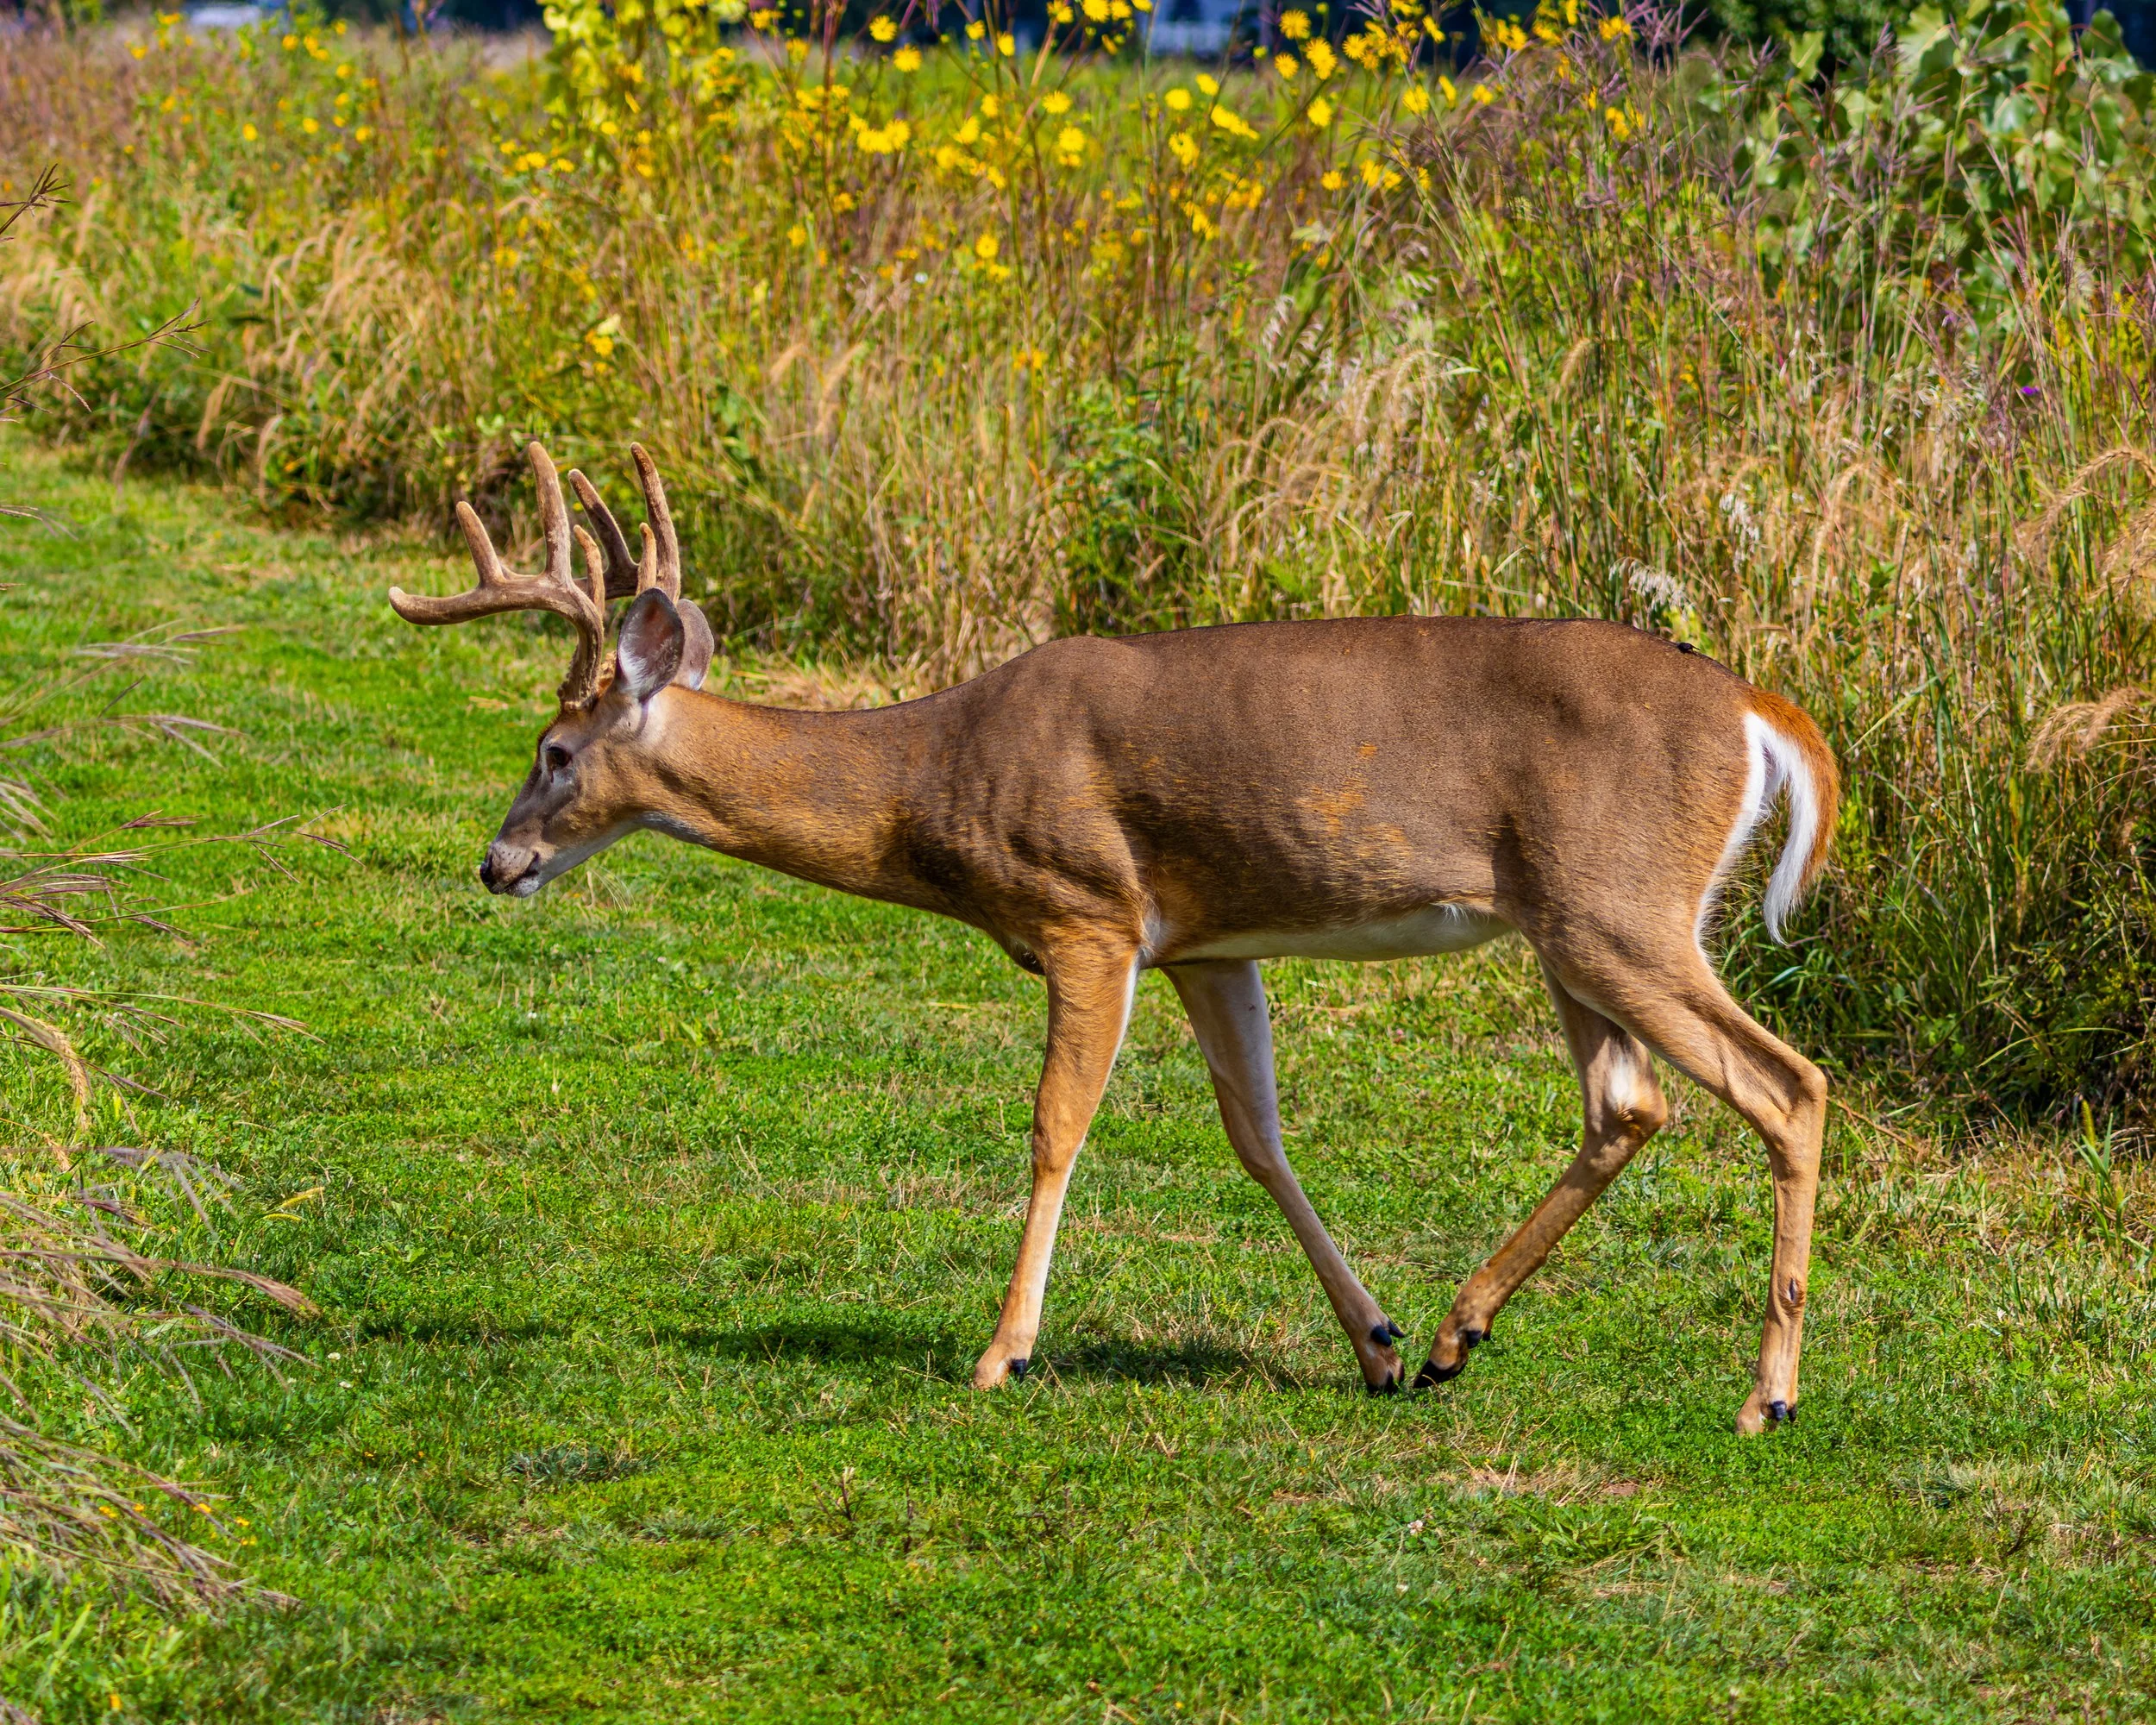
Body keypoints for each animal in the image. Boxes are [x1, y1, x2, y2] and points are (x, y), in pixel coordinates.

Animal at [390, 443, 1841, 1435]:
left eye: (554, 750)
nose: (497, 862)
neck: (929, 780)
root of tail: (1760, 711)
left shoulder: (1087, 915)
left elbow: (1055, 1126)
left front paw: (1002, 1352)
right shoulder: (1204, 944)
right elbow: (1257, 1136)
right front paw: (1372, 1341)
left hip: (1618, 908)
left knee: (1789, 1085)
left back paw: (1765, 1396)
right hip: (1571, 928)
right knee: (1629, 1104)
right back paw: (1451, 1337)